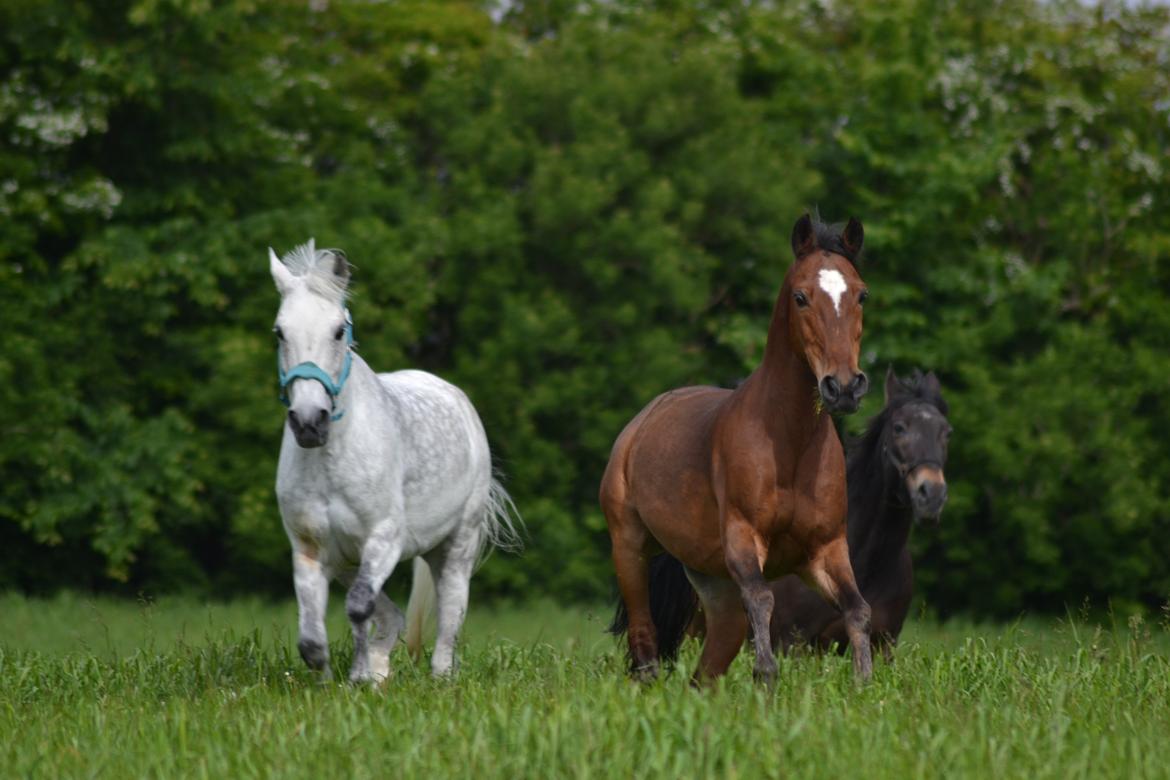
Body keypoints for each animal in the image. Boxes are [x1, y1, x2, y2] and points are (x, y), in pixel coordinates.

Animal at [269, 239, 521, 682]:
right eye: (280, 332)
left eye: (338, 331)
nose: (309, 421)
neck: (330, 462)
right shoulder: (310, 548)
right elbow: (312, 640)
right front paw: (335, 680)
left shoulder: (383, 539)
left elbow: (358, 607)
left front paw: (357, 677)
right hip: (346, 561)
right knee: (394, 616)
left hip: (458, 543)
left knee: (450, 612)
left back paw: (439, 677)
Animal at [608, 215, 875, 682]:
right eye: (801, 297)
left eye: (860, 294)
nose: (843, 387)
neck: (789, 444)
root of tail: (640, 424)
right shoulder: (744, 540)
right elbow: (763, 602)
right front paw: (765, 679)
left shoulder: (826, 550)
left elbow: (857, 610)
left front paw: (865, 686)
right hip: (629, 549)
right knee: (645, 645)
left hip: (713, 584)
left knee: (707, 669)